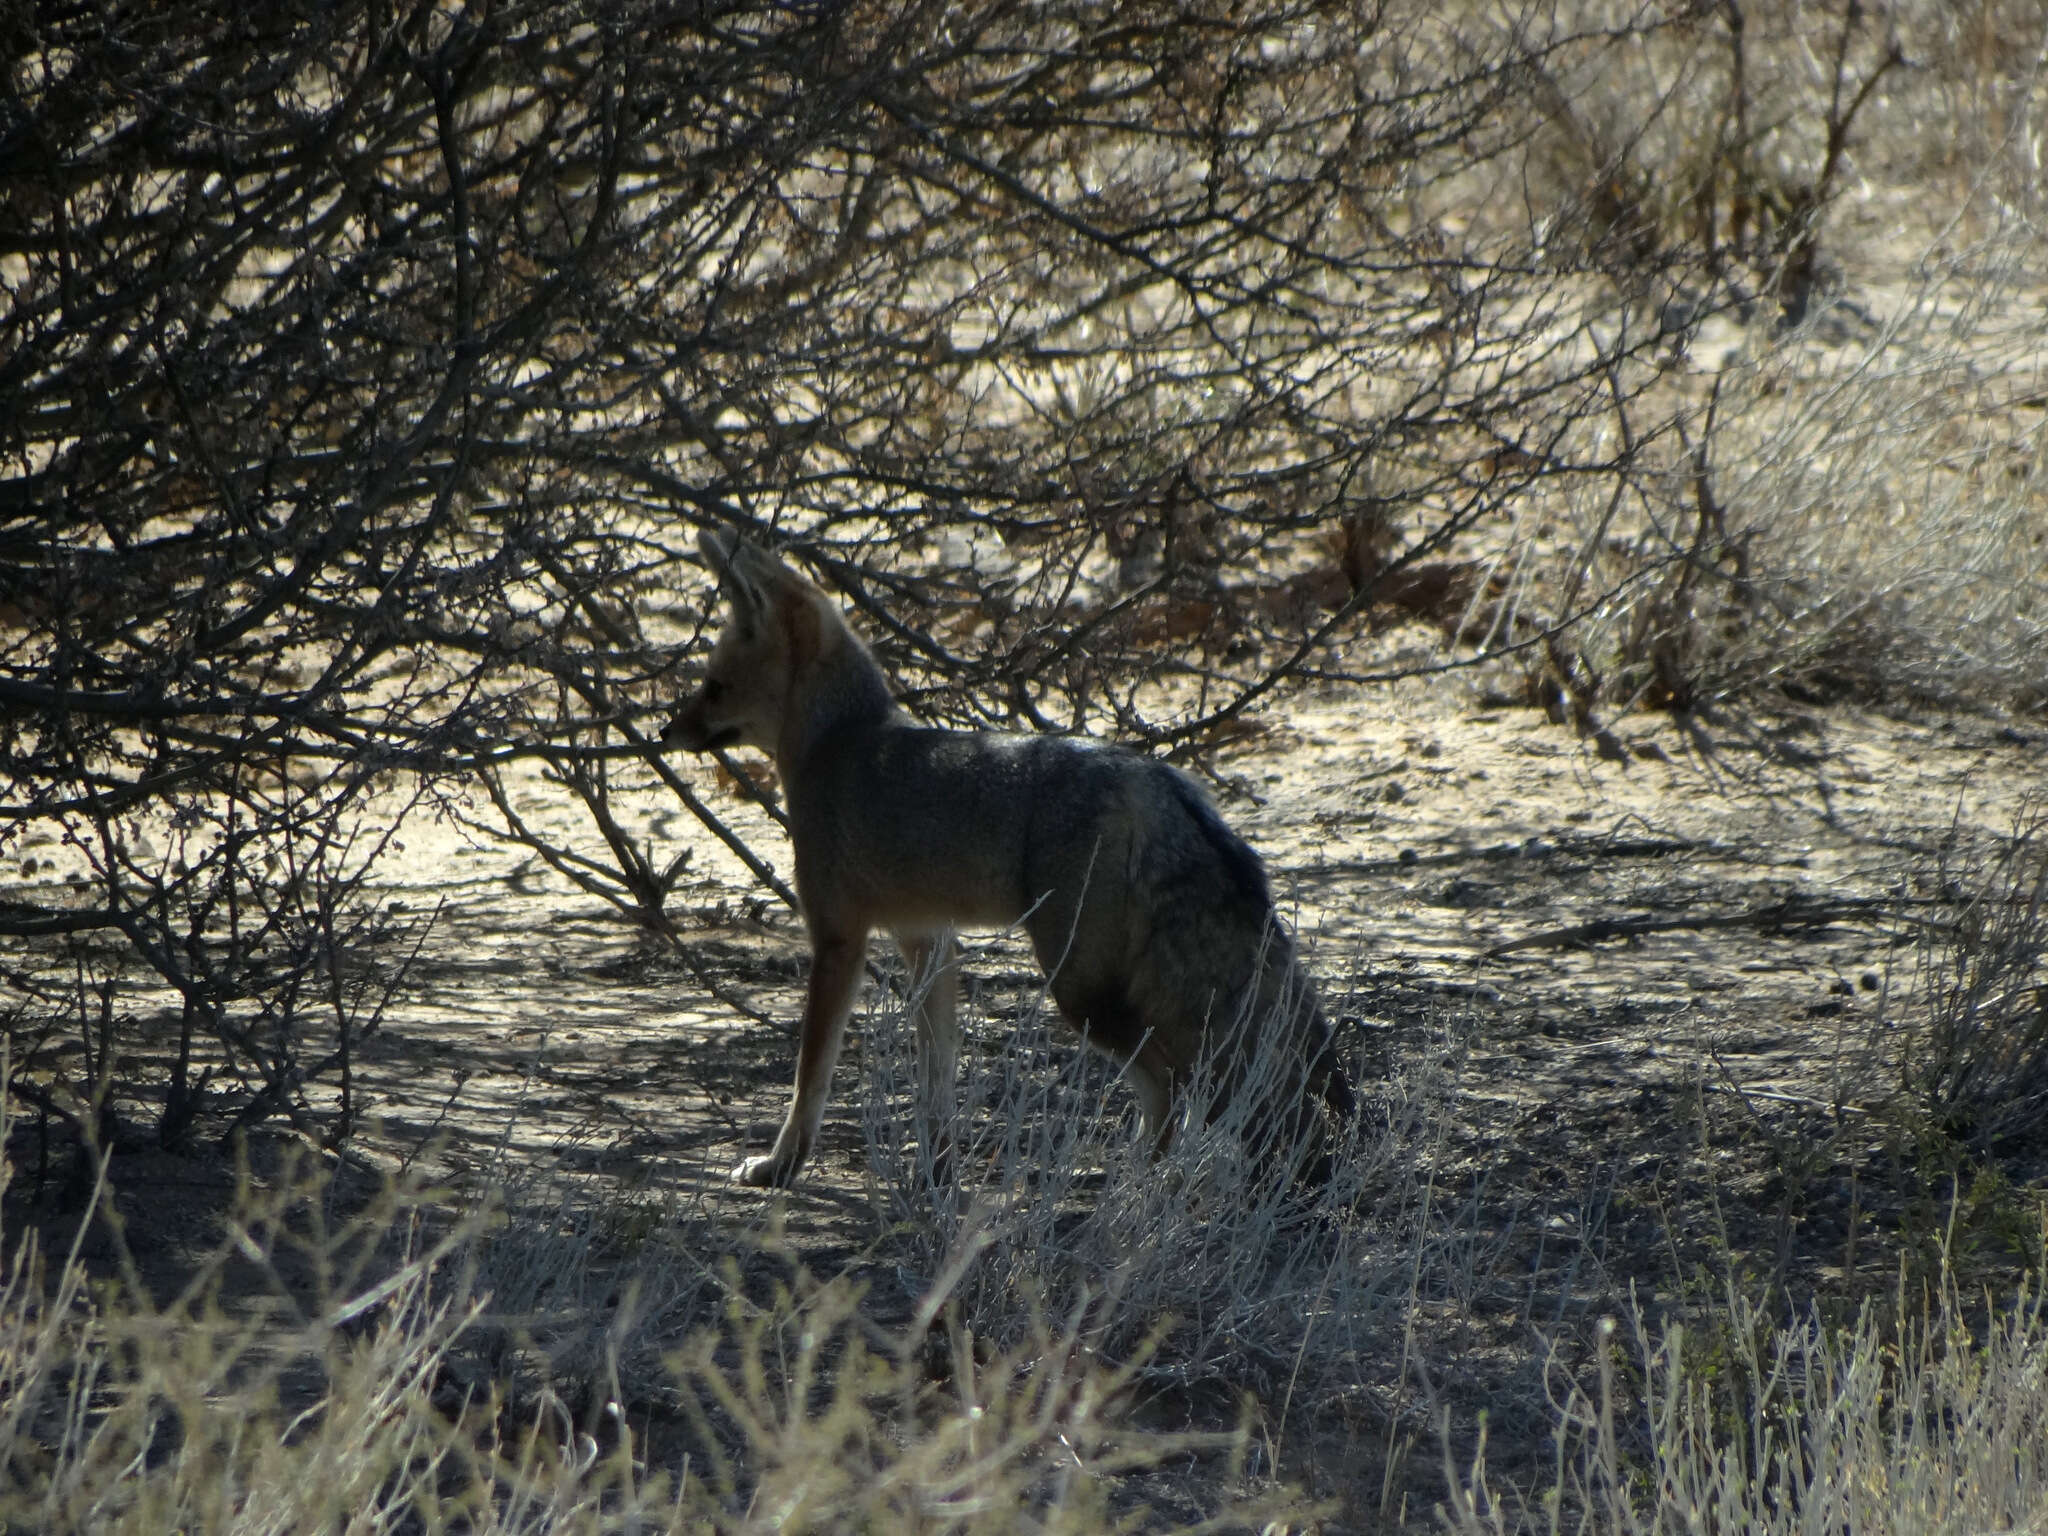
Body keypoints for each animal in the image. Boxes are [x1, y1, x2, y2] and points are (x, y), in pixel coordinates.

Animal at [663, 528, 1351, 1187]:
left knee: (1174, 1084)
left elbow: (813, 1075)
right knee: (1178, 1088)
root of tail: (1151, 775)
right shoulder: (929, 941)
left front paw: (781, 1166)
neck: (839, 742)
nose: (666, 732)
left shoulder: (838, 940)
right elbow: (937, 1073)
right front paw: (937, 1170)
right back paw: (1130, 1177)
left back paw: (1134, 1185)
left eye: (713, 688)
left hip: (1078, 990)